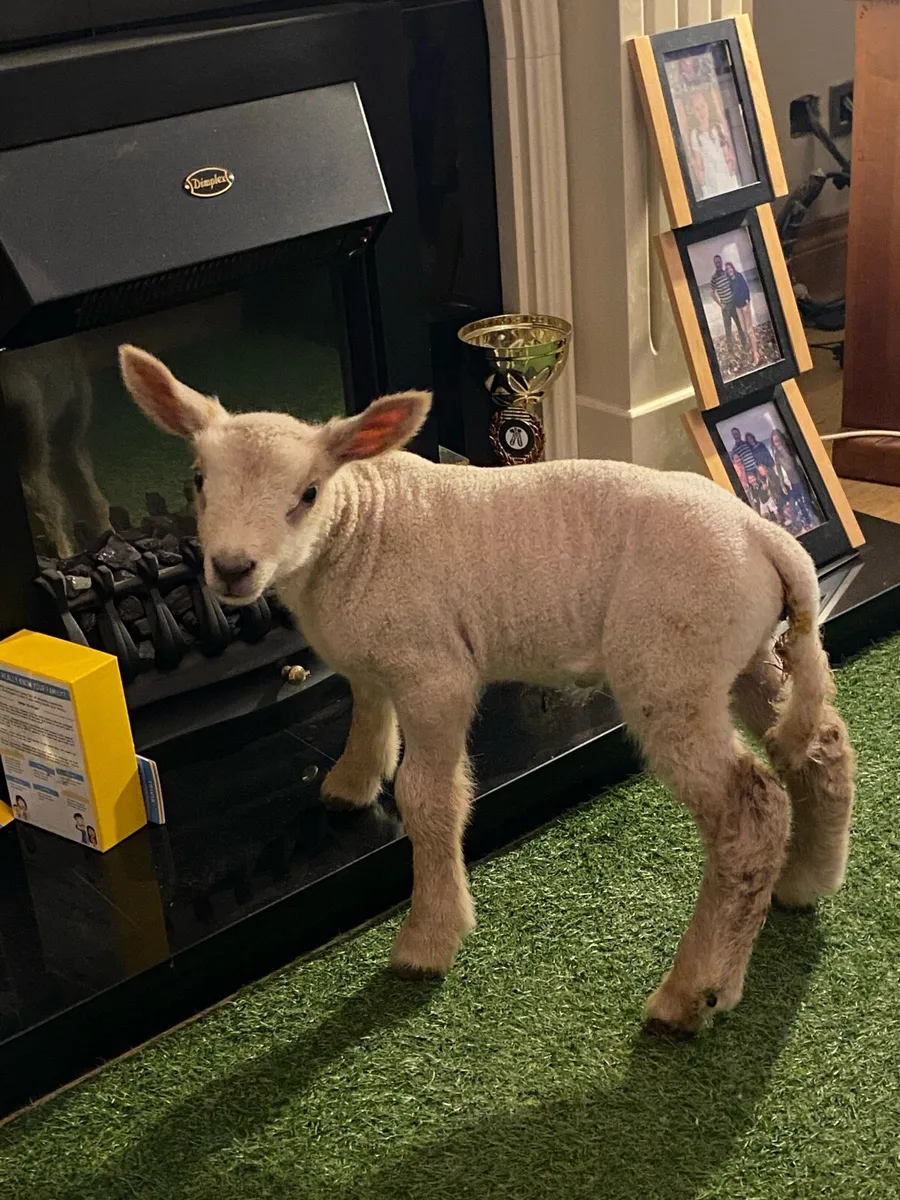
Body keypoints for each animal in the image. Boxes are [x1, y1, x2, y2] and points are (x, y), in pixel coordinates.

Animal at [119, 343, 855, 1035]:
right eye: (198, 481)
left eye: (308, 493)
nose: (232, 568)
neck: (358, 528)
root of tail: (767, 537)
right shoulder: (371, 660)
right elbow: (366, 715)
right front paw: (351, 784)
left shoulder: (434, 671)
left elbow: (429, 797)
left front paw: (429, 939)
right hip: (738, 655)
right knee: (818, 744)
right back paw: (806, 881)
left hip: (670, 663)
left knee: (750, 810)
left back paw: (693, 991)